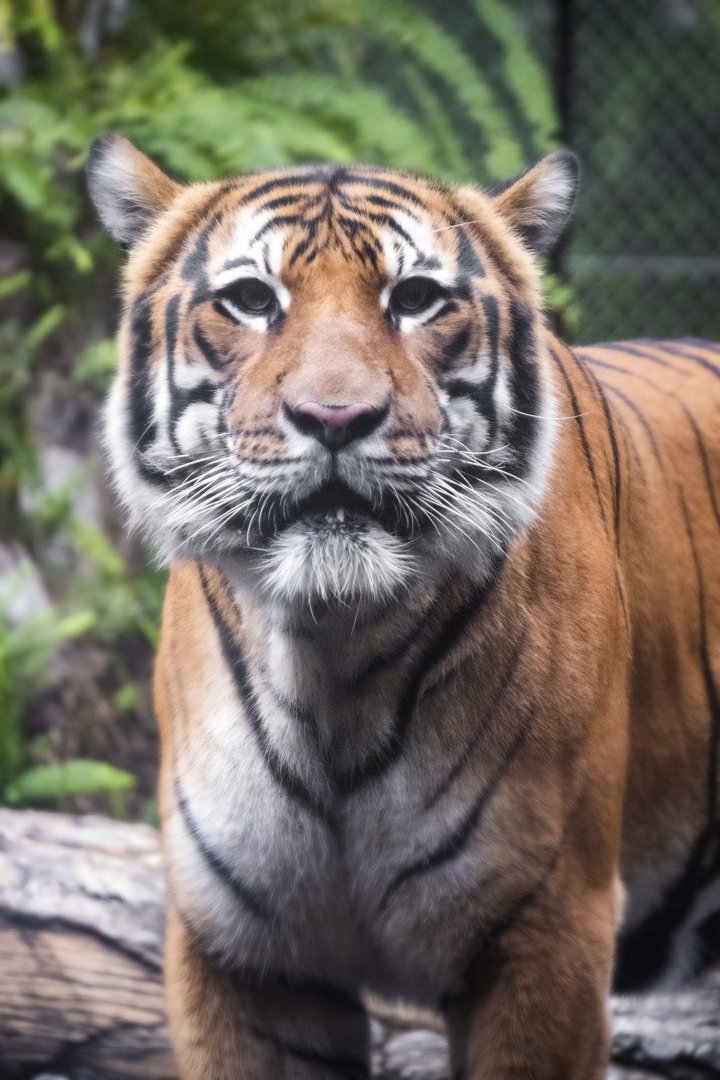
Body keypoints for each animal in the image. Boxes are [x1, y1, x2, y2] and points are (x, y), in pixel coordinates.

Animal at [87, 133, 720, 1080]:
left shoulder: (549, 928)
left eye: (415, 298)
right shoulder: (246, 956)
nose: (336, 417)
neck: (330, 658)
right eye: (251, 300)